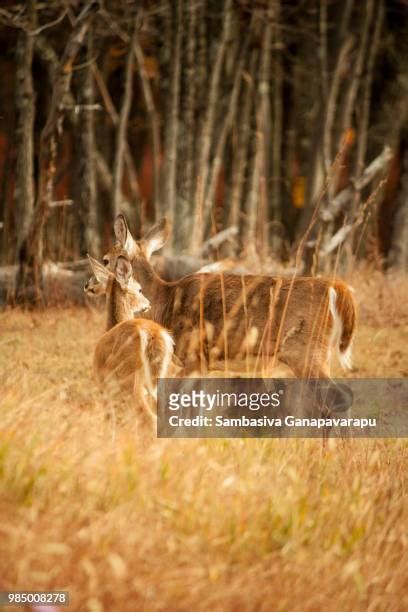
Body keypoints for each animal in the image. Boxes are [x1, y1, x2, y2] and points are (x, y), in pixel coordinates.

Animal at [84, 251, 177, 428]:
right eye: (140, 289)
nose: (148, 303)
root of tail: (150, 334)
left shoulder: (105, 388)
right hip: (156, 378)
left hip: (129, 379)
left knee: (147, 416)